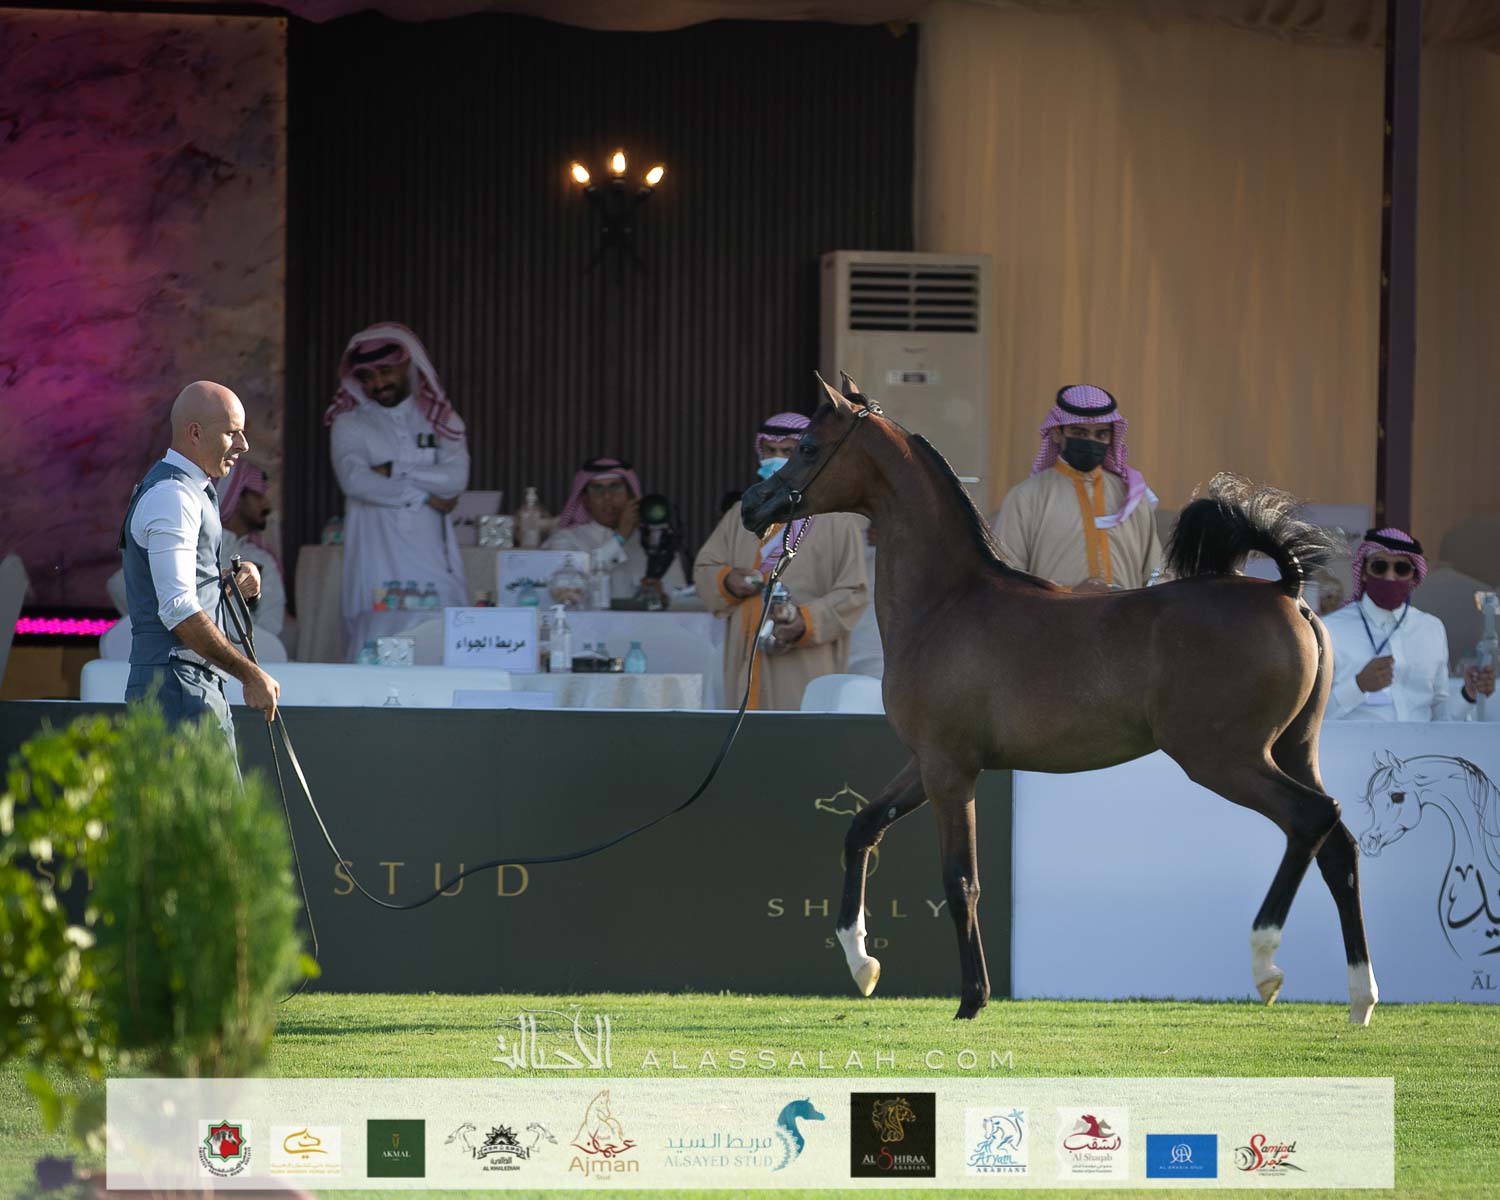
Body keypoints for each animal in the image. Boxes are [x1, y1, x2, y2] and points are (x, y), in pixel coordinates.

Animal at [739, 373, 1377, 1024]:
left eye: (809, 447)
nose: (752, 506)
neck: (945, 602)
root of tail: (1286, 589)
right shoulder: (928, 763)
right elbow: (862, 829)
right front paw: (862, 964)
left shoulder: (949, 770)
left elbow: (960, 882)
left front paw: (972, 999)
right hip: (1293, 750)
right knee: (1338, 848)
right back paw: (1361, 999)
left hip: (1224, 760)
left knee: (1311, 819)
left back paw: (1266, 961)